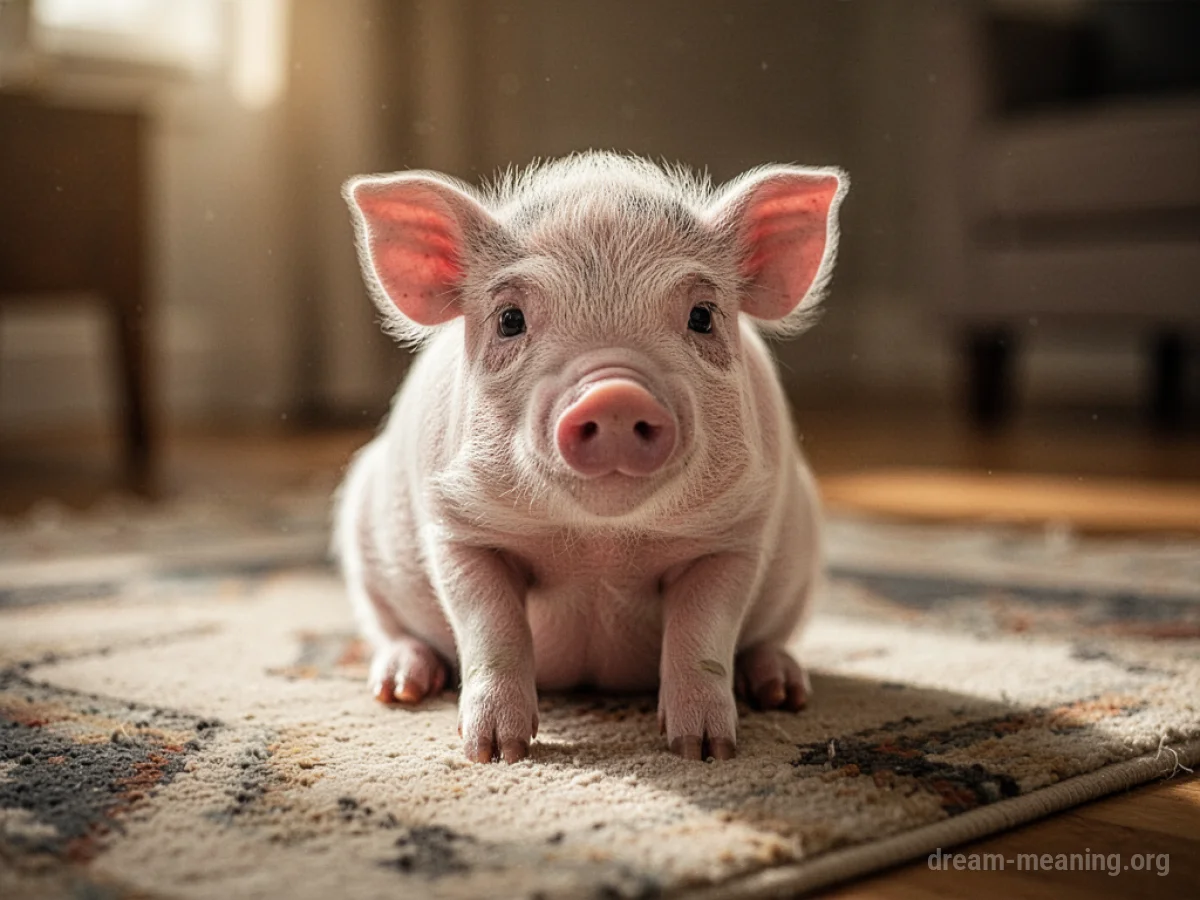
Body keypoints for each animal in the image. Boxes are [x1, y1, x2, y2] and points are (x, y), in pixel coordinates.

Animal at [334, 152, 847, 763]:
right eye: (510, 319)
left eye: (702, 315)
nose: (616, 394)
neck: (600, 543)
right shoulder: (457, 525)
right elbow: (491, 627)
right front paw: (495, 754)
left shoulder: (735, 531)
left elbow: (703, 633)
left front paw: (704, 751)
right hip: (363, 542)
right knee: (389, 629)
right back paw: (401, 688)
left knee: (768, 640)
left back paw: (784, 692)